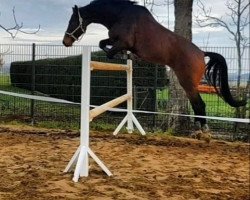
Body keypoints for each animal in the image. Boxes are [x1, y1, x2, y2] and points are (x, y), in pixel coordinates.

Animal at [62, 0, 246, 134]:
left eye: (72, 21)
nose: (66, 42)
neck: (121, 15)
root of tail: (201, 53)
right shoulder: (115, 40)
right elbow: (102, 43)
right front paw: (127, 56)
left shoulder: (123, 42)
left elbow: (109, 52)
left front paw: (124, 56)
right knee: (197, 105)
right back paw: (200, 129)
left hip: (187, 83)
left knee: (199, 105)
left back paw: (203, 132)